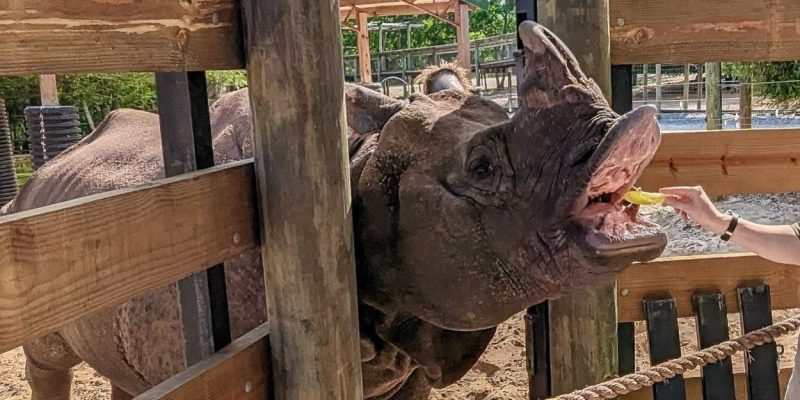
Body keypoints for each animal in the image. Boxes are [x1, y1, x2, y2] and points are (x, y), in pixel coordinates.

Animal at [6, 22, 665, 400]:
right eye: (480, 169)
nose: (625, 133)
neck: (358, 164)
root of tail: (43, 175)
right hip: (38, 232)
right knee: (47, 360)